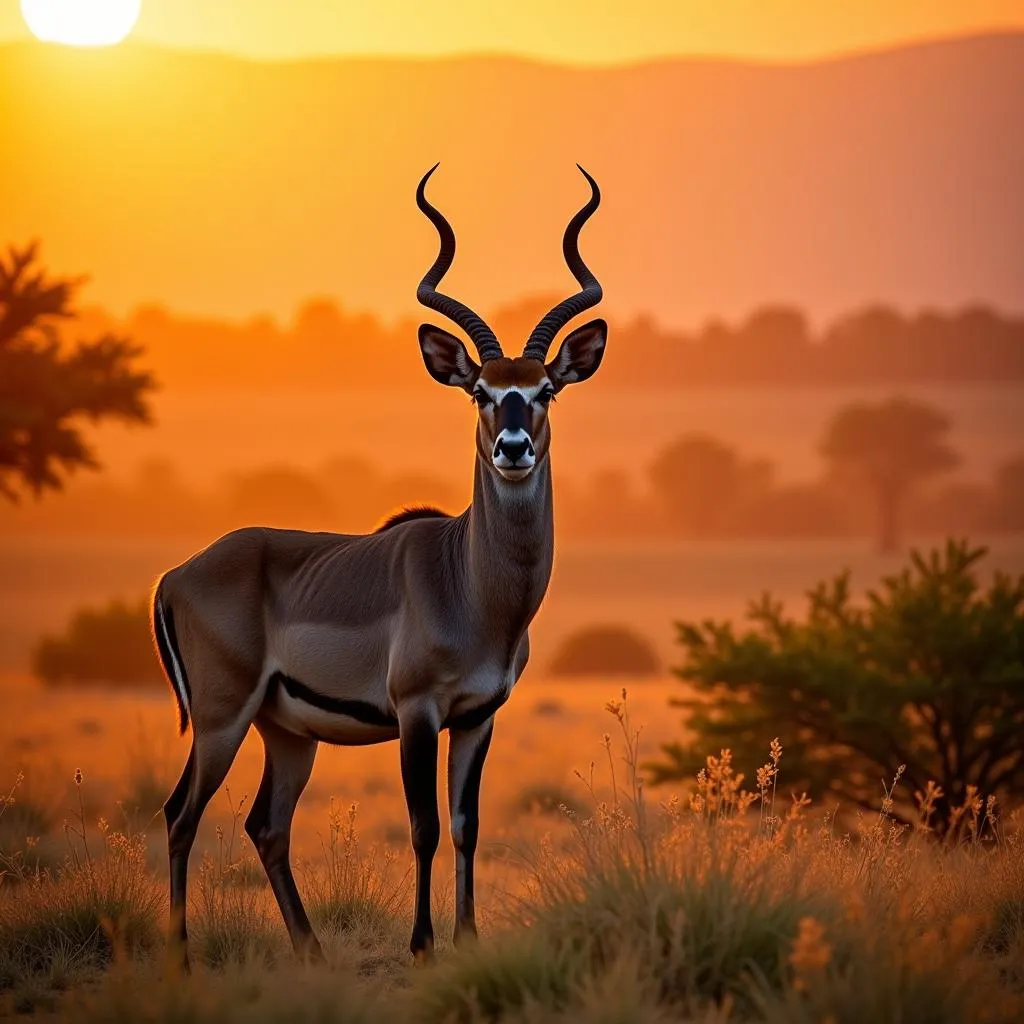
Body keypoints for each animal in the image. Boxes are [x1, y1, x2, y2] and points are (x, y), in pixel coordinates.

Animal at [151, 163, 606, 962]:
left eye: (544, 389)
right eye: (481, 392)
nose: (513, 449)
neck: (471, 586)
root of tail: (178, 576)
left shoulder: (478, 718)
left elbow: (466, 826)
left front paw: (467, 937)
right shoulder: (417, 713)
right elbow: (424, 827)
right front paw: (423, 944)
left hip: (287, 734)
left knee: (266, 825)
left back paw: (309, 950)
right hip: (220, 721)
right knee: (181, 815)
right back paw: (180, 961)